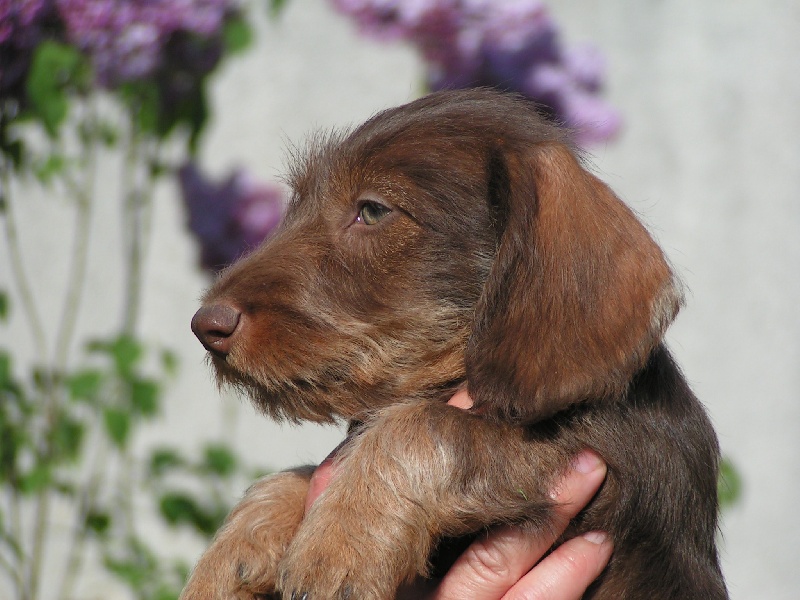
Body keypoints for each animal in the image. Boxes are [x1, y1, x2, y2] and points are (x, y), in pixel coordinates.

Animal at [183, 89, 728, 599]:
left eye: (372, 210)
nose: (205, 325)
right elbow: (298, 473)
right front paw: (230, 557)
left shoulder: (592, 449)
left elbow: (417, 425)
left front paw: (337, 542)